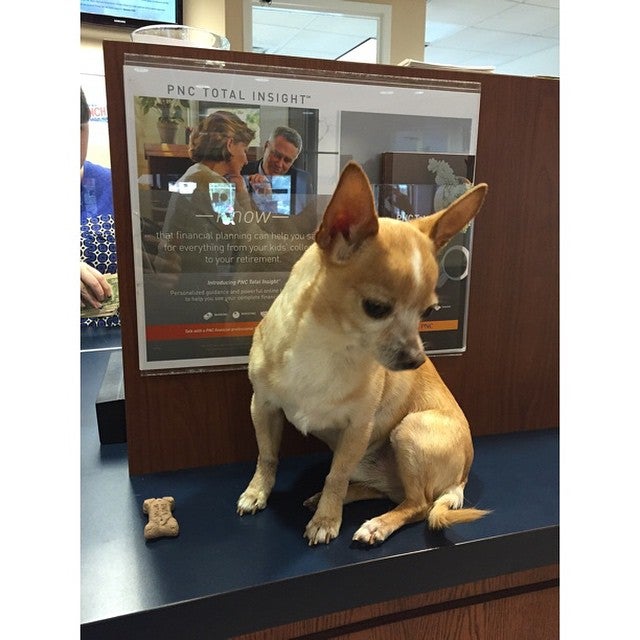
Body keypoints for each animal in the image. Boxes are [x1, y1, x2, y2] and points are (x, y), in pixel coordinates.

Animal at [237, 161, 489, 545]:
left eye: (428, 312)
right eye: (376, 308)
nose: (417, 360)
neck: (327, 348)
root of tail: (462, 476)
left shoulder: (357, 428)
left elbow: (335, 476)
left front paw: (327, 521)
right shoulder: (263, 406)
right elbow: (267, 455)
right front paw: (257, 492)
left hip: (409, 430)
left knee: (418, 504)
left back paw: (376, 524)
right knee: (391, 492)